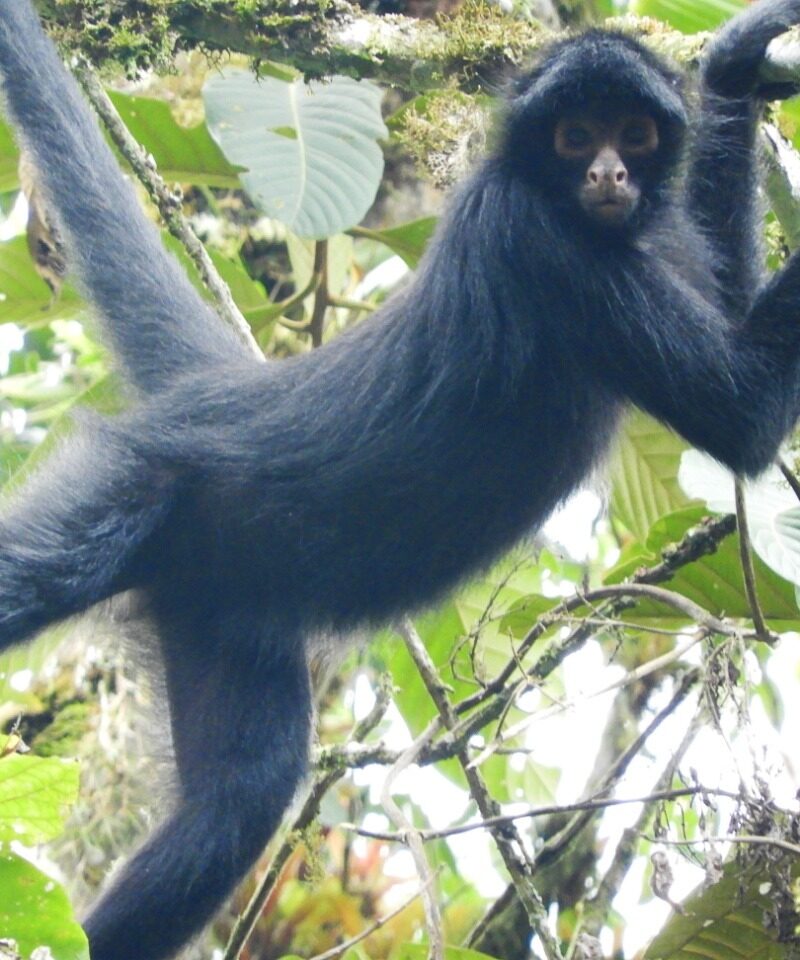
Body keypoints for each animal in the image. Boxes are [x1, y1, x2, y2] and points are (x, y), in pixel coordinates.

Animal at [1, 2, 800, 958]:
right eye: (574, 136)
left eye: (633, 134)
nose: (608, 171)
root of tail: (226, 394)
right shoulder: (532, 233)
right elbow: (745, 419)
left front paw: (735, 66)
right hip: (140, 488)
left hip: (223, 603)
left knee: (239, 801)